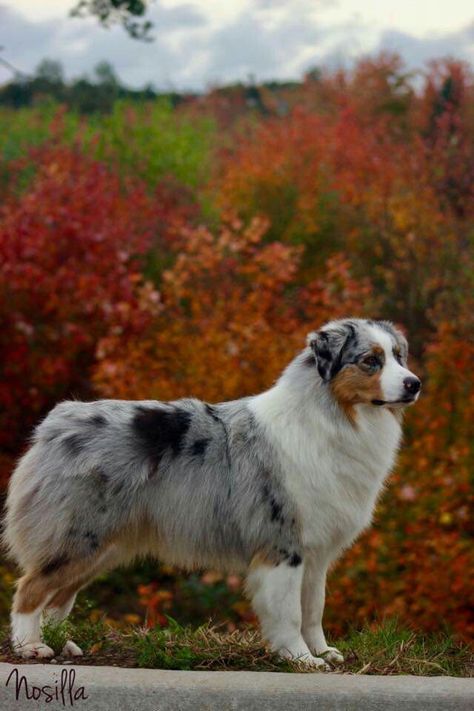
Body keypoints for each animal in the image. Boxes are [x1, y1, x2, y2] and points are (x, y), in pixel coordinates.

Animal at [1, 318, 420, 668]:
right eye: (370, 361)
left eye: (399, 357)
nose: (414, 383)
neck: (334, 414)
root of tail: (57, 420)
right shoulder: (282, 544)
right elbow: (289, 612)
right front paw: (301, 659)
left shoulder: (316, 553)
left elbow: (313, 608)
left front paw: (323, 651)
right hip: (79, 535)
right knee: (29, 589)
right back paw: (31, 647)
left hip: (102, 546)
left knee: (58, 597)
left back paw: (62, 642)